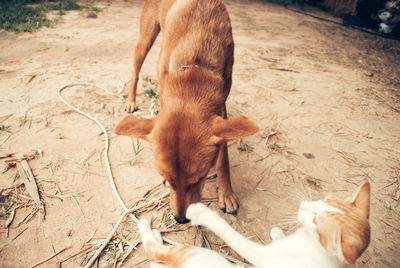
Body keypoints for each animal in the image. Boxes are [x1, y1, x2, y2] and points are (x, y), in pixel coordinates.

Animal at [115, 0, 260, 222]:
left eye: (199, 179)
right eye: (167, 180)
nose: (180, 219)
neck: (195, 66)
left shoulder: (221, 104)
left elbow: (223, 156)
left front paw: (226, 192)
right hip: (145, 39)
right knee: (135, 71)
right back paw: (131, 100)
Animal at [139, 182, 370, 268]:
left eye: (316, 221)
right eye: (324, 199)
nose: (303, 205)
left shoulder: (261, 256)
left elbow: (229, 232)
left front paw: (200, 213)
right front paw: (277, 233)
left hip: (203, 256)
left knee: (155, 254)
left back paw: (145, 227)